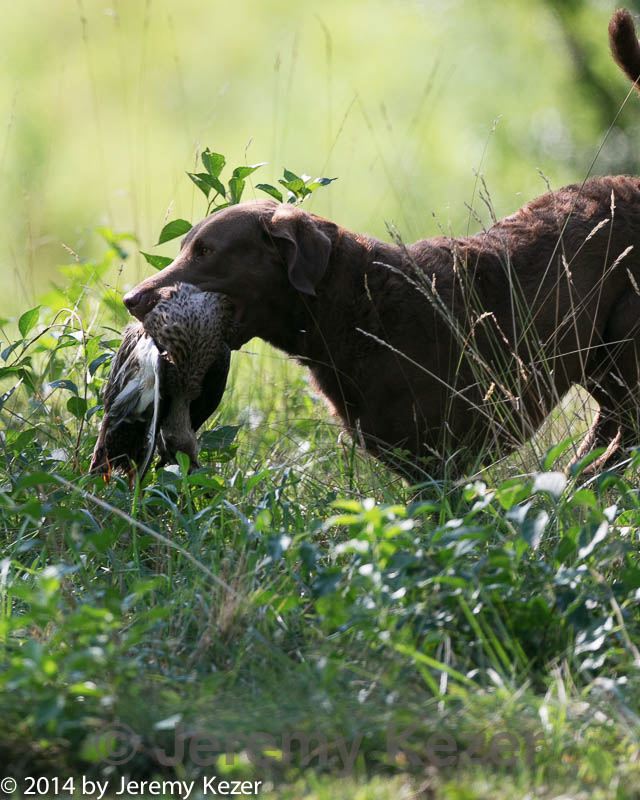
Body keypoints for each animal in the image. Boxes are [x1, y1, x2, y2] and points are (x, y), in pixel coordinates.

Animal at [126, 9, 640, 478]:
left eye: (206, 251)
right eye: (184, 247)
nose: (132, 299)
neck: (355, 305)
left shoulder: (440, 462)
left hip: (623, 353)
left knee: (620, 436)